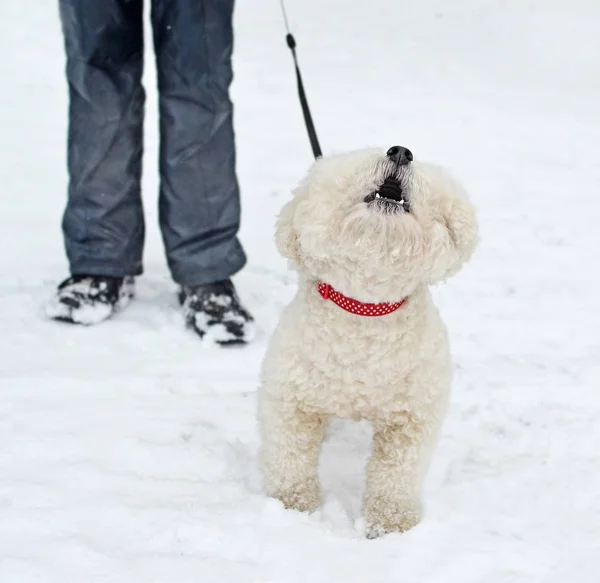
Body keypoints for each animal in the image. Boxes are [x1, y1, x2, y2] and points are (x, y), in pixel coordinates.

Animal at [258, 146, 478, 540]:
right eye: (358, 164)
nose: (401, 151)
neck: (365, 308)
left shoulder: (412, 417)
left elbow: (397, 474)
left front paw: (391, 523)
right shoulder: (290, 400)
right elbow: (290, 456)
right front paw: (292, 505)